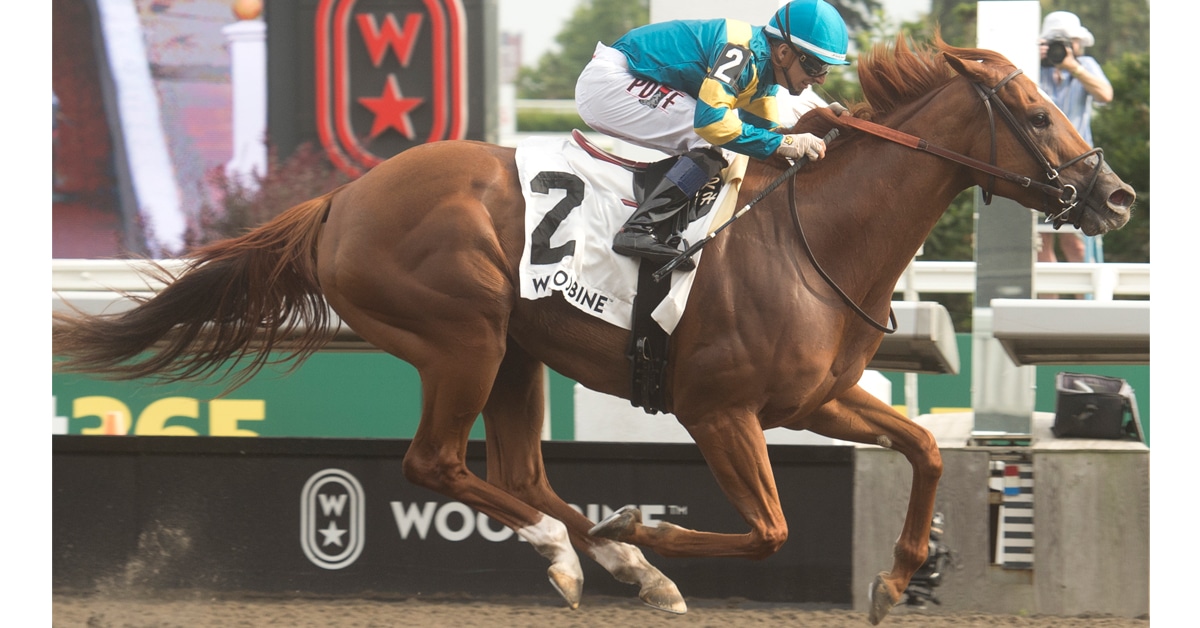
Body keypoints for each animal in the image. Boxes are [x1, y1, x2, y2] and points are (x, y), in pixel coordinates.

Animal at [53, 35, 1134, 625]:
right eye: (1039, 113)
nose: (1117, 196)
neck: (813, 234)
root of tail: (340, 201)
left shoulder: (818, 397)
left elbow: (925, 449)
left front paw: (900, 575)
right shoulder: (717, 410)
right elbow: (768, 529)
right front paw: (648, 528)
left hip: (515, 354)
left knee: (519, 472)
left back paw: (606, 558)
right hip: (464, 337)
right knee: (437, 465)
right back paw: (600, 551)